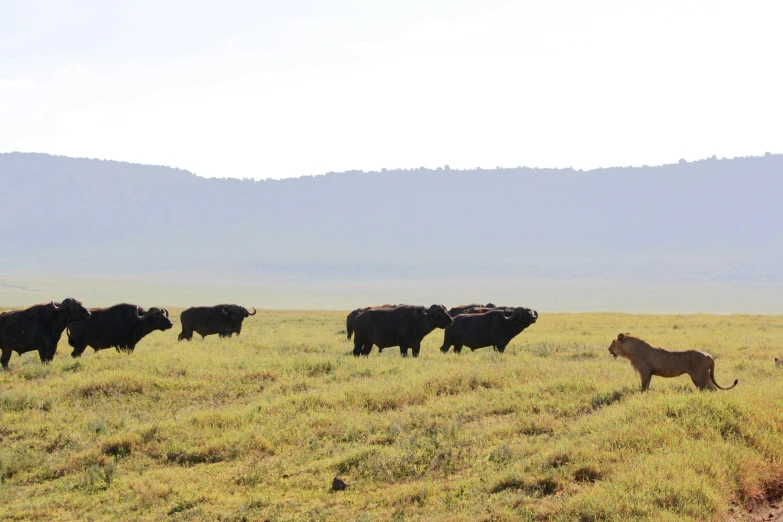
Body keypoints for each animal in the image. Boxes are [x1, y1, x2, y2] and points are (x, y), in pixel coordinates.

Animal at [608, 334, 740, 390]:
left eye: (612, 343)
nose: (608, 349)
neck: (630, 351)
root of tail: (710, 356)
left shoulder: (645, 371)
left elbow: (644, 386)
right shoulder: (649, 372)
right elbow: (647, 385)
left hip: (699, 377)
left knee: (710, 388)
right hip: (705, 376)